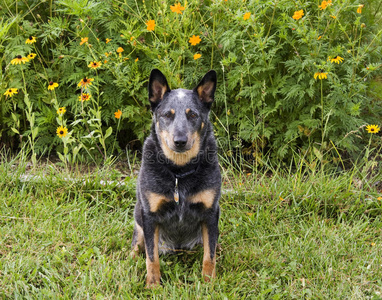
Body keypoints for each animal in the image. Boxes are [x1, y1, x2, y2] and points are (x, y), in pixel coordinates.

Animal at [131, 69, 221, 288]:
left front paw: (209, 283)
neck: (179, 173)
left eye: (193, 114)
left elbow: (210, 255)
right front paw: (152, 286)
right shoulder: (149, 215)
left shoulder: (211, 213)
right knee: (138, 243)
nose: (180, 141)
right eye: (167, 115)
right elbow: (152, 257)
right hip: (138, 215)